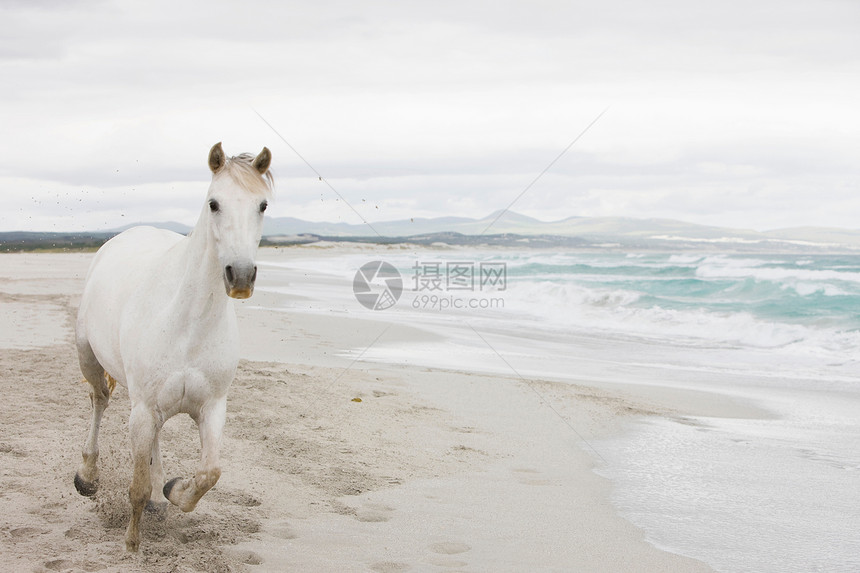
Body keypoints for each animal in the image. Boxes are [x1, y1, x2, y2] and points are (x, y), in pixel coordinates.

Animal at [77, 142, 274, 548]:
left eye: (262, 205)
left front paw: (171, 489)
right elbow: (135, 486)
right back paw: (87, 475)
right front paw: (132, 546)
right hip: (89, 357)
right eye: (214, 203)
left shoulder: (212, 409)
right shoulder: (143, 409)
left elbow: (209, 473)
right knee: (99, 401)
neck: (187, 323)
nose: (240, 276)